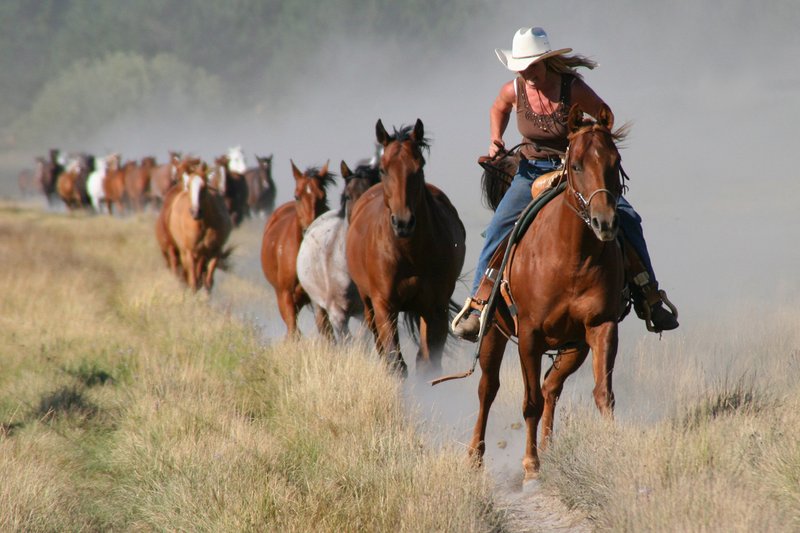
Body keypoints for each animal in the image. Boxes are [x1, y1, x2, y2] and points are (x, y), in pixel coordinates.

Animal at [260, 161, 334, 336]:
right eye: (297, 196)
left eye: (323, 197)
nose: (311, 230)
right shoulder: (286, 294)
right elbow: (293, 329)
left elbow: (325, 328)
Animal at [346, 119, 466, 374]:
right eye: (383, 170)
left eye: (418, 167)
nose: (403, 223)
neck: (409, 253)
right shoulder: (384, 306)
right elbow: (395, 362)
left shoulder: (435, 308)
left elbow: (429, 363)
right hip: (368, 305)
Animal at [466, 104, 628, 478]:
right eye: (577, 165)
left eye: (615, 162)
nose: (605, 222)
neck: (570, 258)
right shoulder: (530, 335)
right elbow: (530, 403)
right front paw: (531, 467)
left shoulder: (601, 326)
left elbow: (603, 393)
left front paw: (612, 448)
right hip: (493, 335)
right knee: (488, 390)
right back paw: (475, 455)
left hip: (573, 347)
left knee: (551, 387)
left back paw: (549, 447)